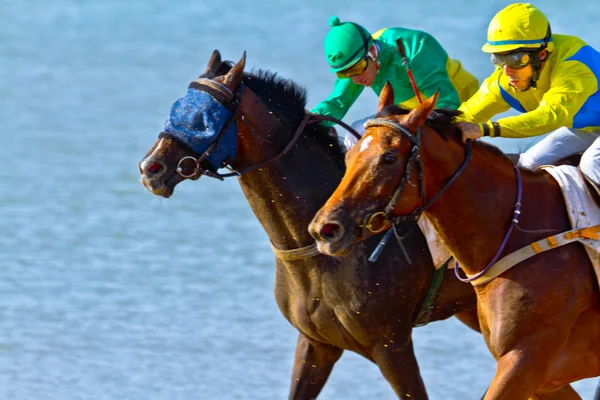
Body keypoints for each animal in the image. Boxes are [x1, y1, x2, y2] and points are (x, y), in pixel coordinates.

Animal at [138, 50, 486, 400]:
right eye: (177, 105)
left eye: (204, 118)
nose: (150, 167)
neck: (320, 253)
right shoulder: (316, 343)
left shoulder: (392, 345)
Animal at [310, 83, 600, 398]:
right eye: (349, 157)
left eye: (388, 158)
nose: (325, 229)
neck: (517, 233)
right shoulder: (541, 375)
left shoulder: (527, 355)